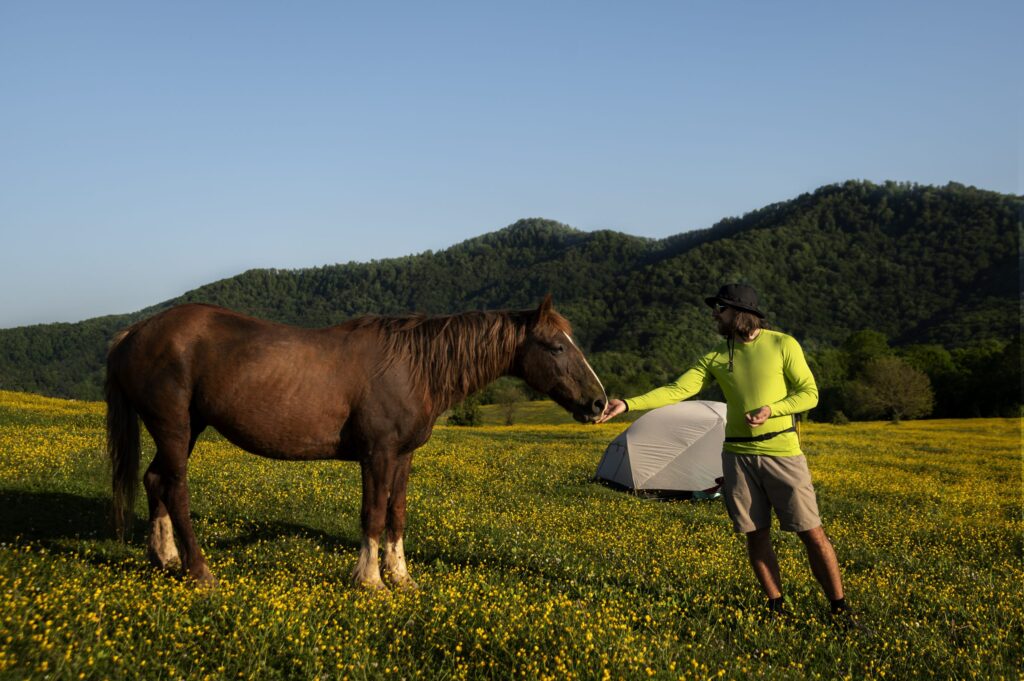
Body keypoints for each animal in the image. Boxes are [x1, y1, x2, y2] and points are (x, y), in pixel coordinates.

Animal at [106, 295, 607, 588]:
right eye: (556, 347)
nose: (600, 402)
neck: (414, 366)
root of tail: (136, 331)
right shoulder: (377, 455)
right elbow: (373, 514)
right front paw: (370, 580)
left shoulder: (403, 457)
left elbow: (397, 514)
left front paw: (401, 577)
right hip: (175, 427)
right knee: (176, 489)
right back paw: (199, 570)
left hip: (186, 429)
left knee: (155, 480)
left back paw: (164, 557)